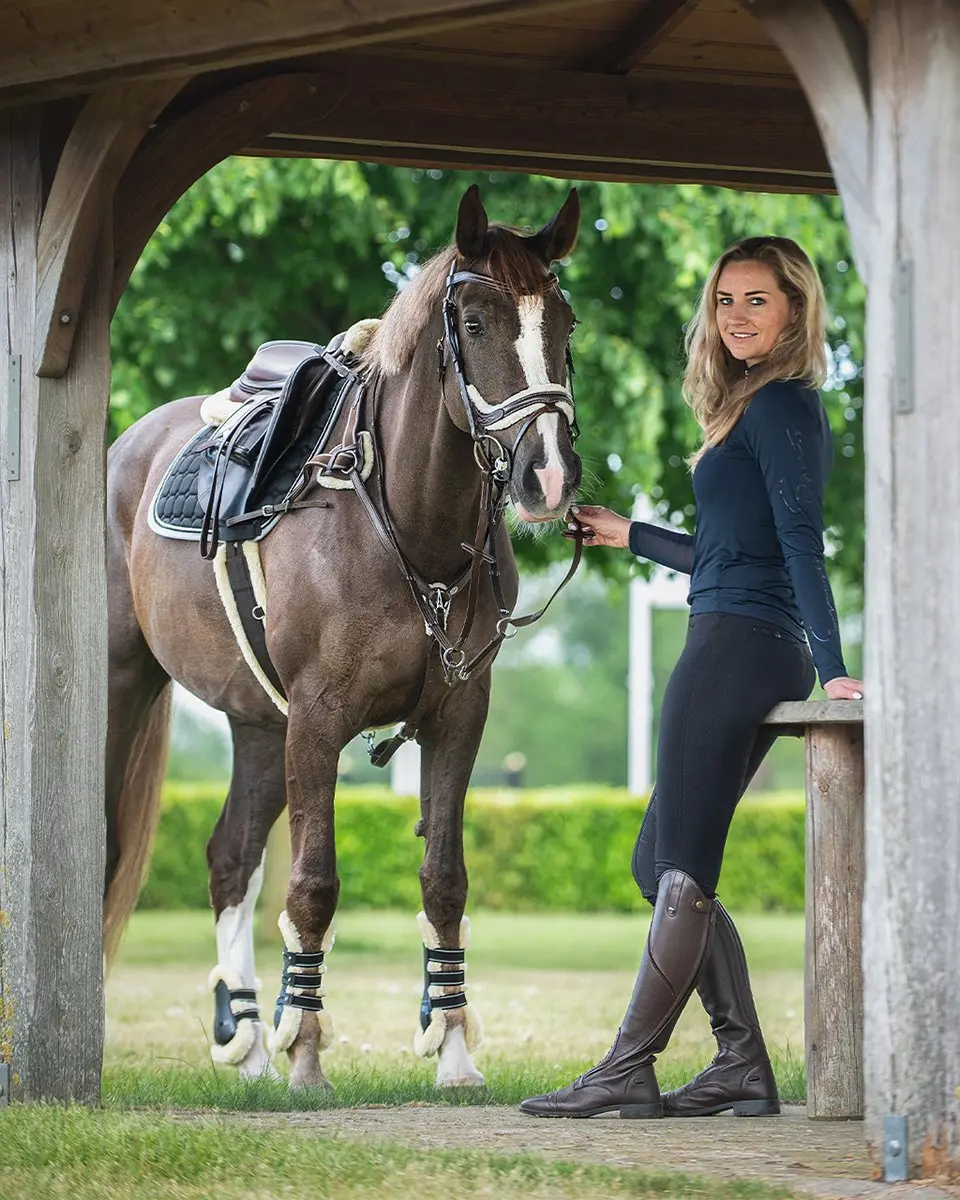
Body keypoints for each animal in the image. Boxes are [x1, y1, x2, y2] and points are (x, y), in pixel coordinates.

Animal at [104, 185, 583, 1089]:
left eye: (565, 323)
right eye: (474, 323)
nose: (549, 475)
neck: (404, 526)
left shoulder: (458, 717)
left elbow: (444, 880)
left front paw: (453, 1056)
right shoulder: (320, 717)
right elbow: (314, 885)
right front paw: (308, 1059)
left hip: (260, 722)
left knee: (230, 857)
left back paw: (249, 1043)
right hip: (127, 685)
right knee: (115, 841)